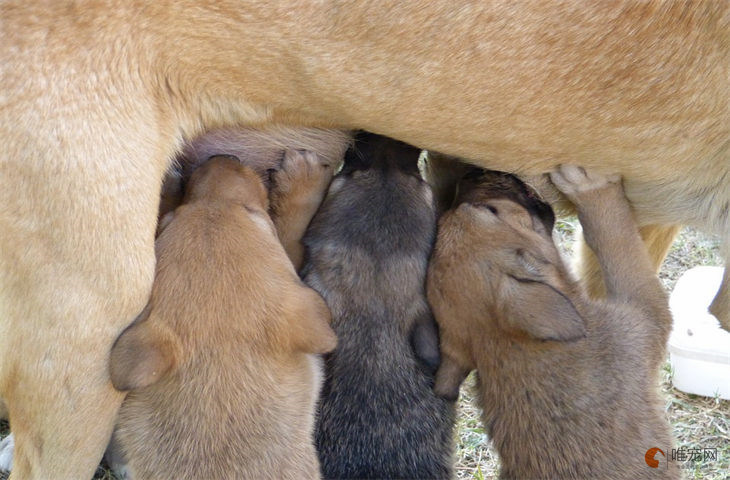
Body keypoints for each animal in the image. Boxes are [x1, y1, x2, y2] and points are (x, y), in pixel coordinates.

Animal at [426, 166, 676, 480]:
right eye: (490, 210)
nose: (469, 175)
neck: (509, 345)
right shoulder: (646, 316)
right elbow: (616, 238)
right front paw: (591, 188)